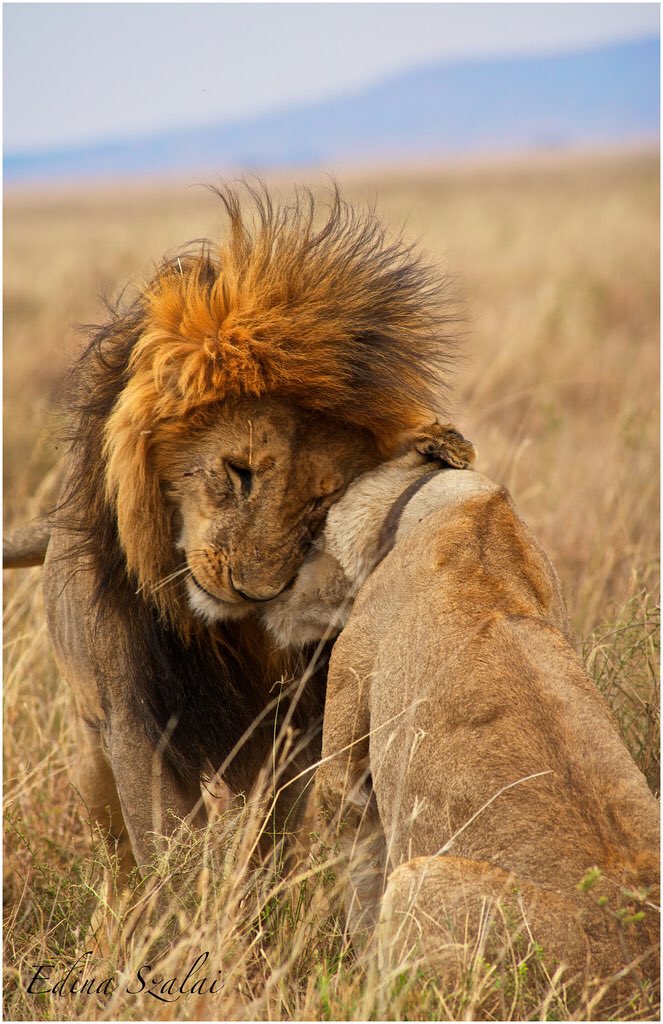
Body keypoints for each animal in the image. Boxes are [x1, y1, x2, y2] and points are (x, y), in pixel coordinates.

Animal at [4, 185, 461, 921]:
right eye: (238, 471)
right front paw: (184, 928)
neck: (220, 633)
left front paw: (254, 918)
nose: (256, 592)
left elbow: (267, 845)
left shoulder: (292, 725)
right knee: (113, 842)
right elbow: (169, 852)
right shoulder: (134, 721)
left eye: (321, 502)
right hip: (87, 739)